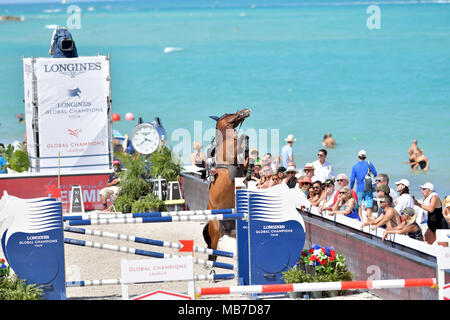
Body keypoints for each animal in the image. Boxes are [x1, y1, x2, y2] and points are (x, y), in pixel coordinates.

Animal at [203, 107, 251, 260]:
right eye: (228, 114)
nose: (245, 110)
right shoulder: (231, 153)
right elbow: (240, 143)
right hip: (216, 229)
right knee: (213, 255)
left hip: (236, 232)